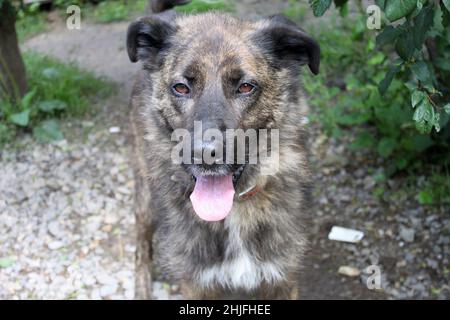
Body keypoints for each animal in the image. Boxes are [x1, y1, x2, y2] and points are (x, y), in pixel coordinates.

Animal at [126, 0, 320, 300]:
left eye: (246, 87)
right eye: (181, 87)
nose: (205, 154)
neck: (235, 209)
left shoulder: (281, 279)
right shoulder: (197, 284)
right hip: (145, 197)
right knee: (141, 247)